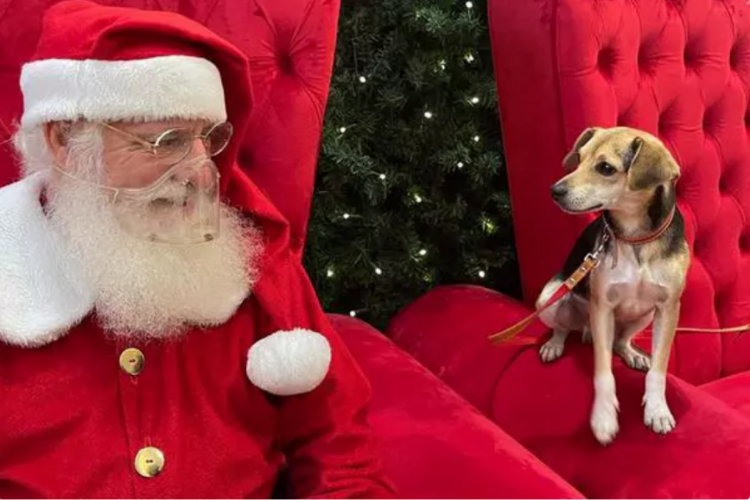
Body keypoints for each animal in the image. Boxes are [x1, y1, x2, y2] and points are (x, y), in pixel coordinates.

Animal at [536, 125, 692, 446]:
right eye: (579, 158)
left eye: (606, 168)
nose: (554, 191)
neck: (636, 237)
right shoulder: (601, 307)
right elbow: (603, 372)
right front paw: (603, 417)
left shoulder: (668, 308)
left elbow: (659, 369)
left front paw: (657, 410)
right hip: (549, 298)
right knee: (562, 326)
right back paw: (554, 345)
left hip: (644, 316)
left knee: (621, 340)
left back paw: (632, 354)